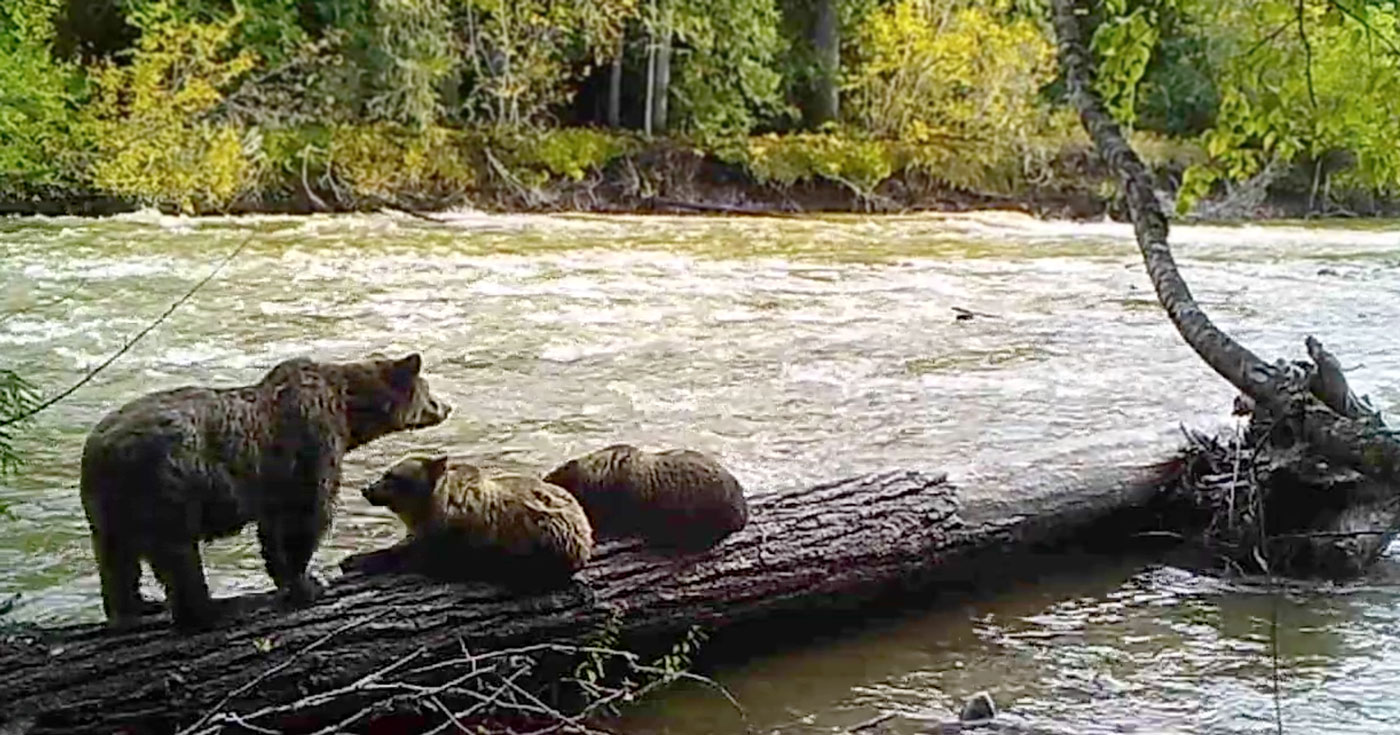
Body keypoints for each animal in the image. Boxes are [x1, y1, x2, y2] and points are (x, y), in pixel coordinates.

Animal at [79, 352, 451, 631]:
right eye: (428, 387)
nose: (448, 406)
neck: (349, 413)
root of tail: (101, 449)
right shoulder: (313, 444)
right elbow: (309, 514)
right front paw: (309, 582)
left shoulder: (274, 481)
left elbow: (273, 531)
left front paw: (288, 579)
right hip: (168, 486)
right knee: (177, 556)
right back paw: (207, 611)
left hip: (110, 506)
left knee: (116, 560)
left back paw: (137, 606)